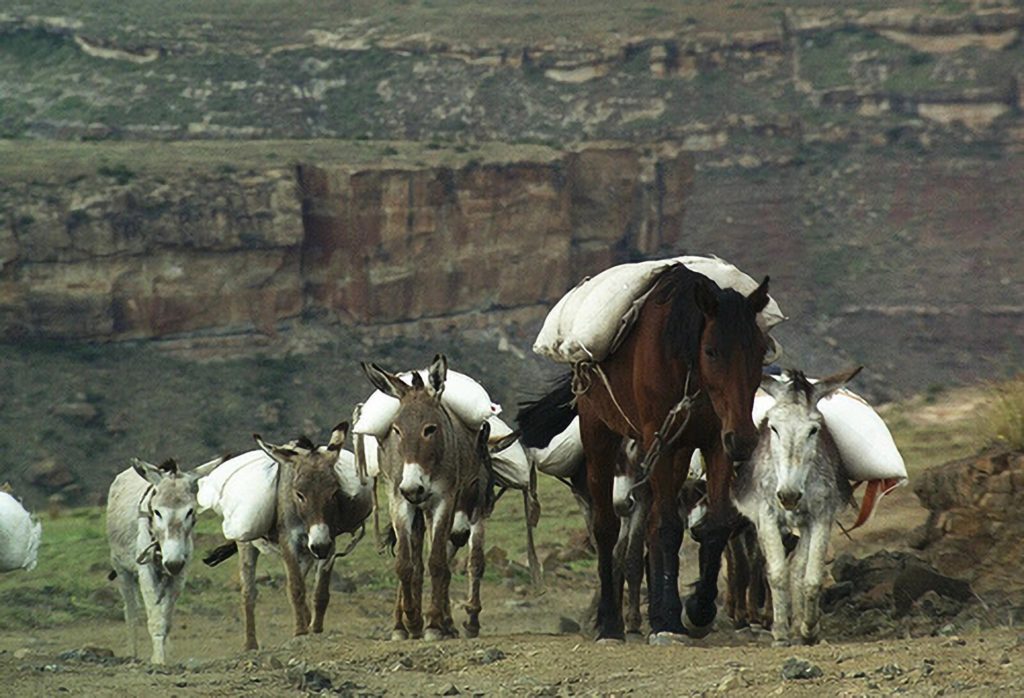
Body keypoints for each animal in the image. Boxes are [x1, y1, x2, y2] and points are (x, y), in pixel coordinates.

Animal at [520, 264, 770, 638]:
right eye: (711, 350)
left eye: (760, 351)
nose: (744, 439)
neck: (684, 362)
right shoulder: (660, 441)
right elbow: (667, 528)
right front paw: (673, 618)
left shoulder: (716, 441)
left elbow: (717, 524)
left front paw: (697, 609)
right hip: (599, 433)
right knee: (607, 528)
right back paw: (610, 624)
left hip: (676, 451)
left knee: (649, 529)